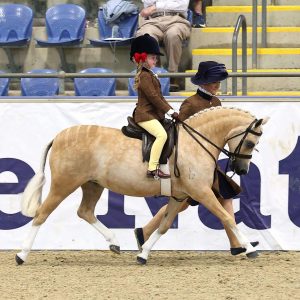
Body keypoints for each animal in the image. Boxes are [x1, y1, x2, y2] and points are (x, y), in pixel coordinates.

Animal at [15, 106, 268, 264]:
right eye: (250, 142)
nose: (242, 170)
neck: (194, 142)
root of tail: (58, 137)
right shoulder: (202, 192)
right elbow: (227, 218)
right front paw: (250, 249)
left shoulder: (179, 196)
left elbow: (164, 226)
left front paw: (143, 254)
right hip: (64, 184)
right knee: (41, 214)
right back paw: (22, 255)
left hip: (92, 185)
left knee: (85, 211)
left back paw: (114, 243)